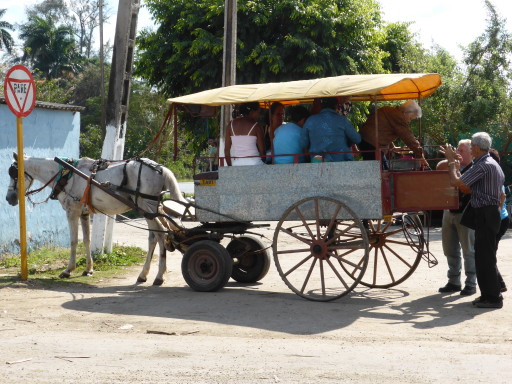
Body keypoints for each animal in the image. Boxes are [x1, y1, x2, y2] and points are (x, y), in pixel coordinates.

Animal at [5, 154, 186, 284]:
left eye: (14, 175)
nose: (9, 198)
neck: (67, 175)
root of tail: (161, 169)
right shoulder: (84, 213)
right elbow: (87, 240)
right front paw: (88, 269)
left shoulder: (72, 212)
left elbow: (74, 241)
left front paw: (68, 270)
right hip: (152, 209)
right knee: (154, 237)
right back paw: (143, 274)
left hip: (146, 206)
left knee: (161, 234)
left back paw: (159, 276)